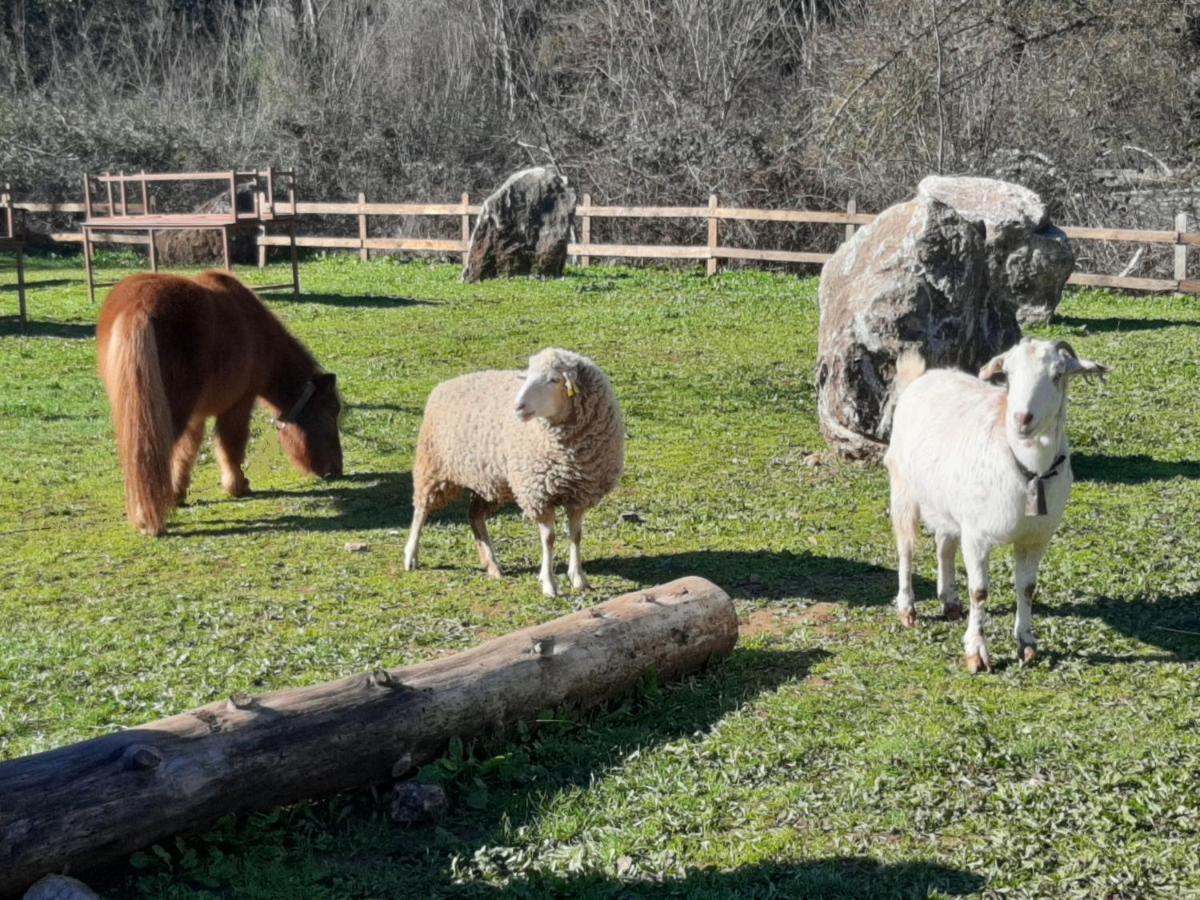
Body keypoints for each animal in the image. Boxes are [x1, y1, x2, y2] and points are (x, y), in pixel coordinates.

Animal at [97, 270, 343, 535]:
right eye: (330, 413)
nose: (336, 470)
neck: (258, 332)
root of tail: (138, 308)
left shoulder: (196, 415)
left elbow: (187, 452)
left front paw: (178, 493)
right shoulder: (238, 406)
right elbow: (231, 448)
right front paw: (238, 486)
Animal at [405, 348, 624, 595]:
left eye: (554, 380)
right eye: (527, 376)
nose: (518, 407)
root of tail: (444, 385)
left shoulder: (579, 494)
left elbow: (576, 535)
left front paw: (578, 578)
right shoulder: (538, 494)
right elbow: (549, 538)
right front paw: (549, 583)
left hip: (490, 482)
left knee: (474, 516)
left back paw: (491, 564)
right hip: (433, 467)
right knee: (421, 511)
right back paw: (411, 555)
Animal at [883, 340, 1104, 676]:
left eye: (1058, 374)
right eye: (1008, 375)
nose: (1022, 418)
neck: (1028, 471)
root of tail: (922, 376)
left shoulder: (1036, 538)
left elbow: (1027, 588)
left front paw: (1027, 643)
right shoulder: (976, 536)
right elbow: (979, 592)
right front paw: (976, 653)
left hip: (948, 505)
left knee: (944, 546)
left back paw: (949, 601)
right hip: (903, 489)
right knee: (906, 548)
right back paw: (908, 608)